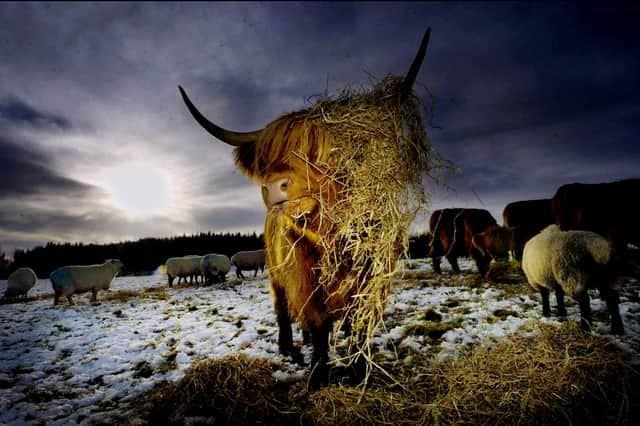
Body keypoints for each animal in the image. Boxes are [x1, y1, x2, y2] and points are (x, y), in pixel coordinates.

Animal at [179, 30, 436, 390]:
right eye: (269, 158)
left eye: (323, 153)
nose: (273, 187)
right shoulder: (302, 277)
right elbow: (317, 323)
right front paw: (317, 374)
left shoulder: (373, 276)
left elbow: (358, 324)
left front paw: (358, 370)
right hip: (275, 273)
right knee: (283, 310)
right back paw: (288, 347)